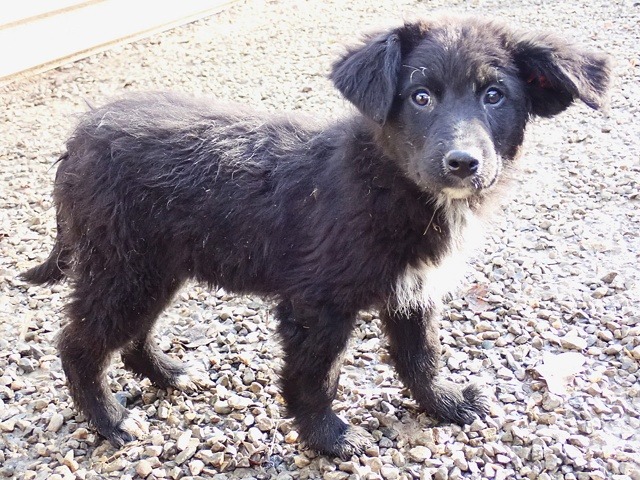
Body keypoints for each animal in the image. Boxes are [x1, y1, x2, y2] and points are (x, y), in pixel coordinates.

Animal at [23, 16, 610, 458]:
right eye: (420, 97)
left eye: (495, 96)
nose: (463, 163)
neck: (387, 181)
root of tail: (80, 137)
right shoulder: (317, 303)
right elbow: (315, 375)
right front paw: (327, 437)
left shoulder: (412, 290)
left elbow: (421, 356)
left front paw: (444, 404)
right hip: (123, 264)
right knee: (79, 343)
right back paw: (108, 419)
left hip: (154, 266)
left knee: (132, 333)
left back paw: (166, 373)